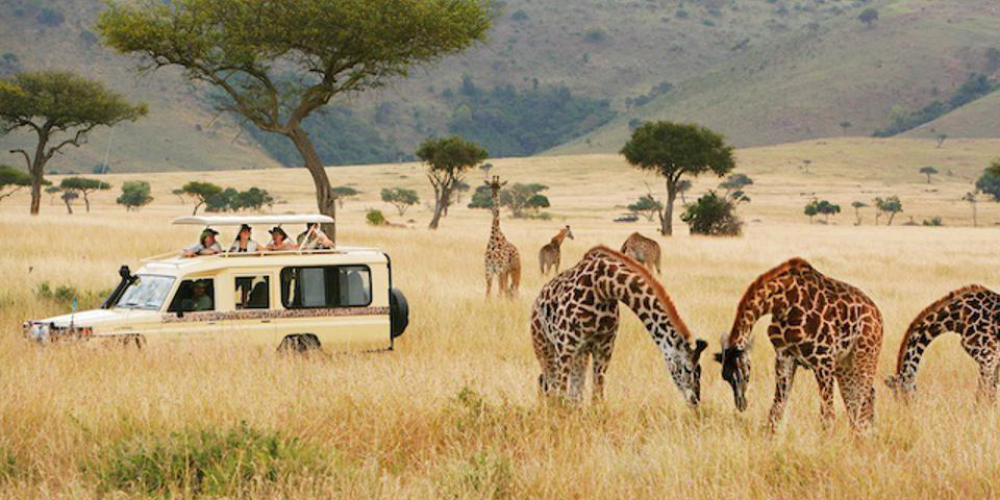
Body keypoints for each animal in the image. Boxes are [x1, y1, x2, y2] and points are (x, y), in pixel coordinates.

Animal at [531, 245, 708, 406]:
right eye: (687, 369)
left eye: (700, 370)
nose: (695, 401)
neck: (603, 287)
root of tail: (537, 300)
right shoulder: (565, 347)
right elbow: (561, 395)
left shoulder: (604, 348)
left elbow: (597, 397)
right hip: (545, 347)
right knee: (548, 384)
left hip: (580, 354)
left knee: (573, 393)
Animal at [714, 258, 883, 433]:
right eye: (725, 377)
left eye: (743, 373)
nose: (741, 404)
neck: (784, 303)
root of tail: (877, 315)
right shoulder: (785, 356)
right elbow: (776, 410)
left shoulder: (823, 359)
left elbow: (827, 416)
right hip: (844, 364)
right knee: (858, 400)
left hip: (864, 355)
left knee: (862, 400)